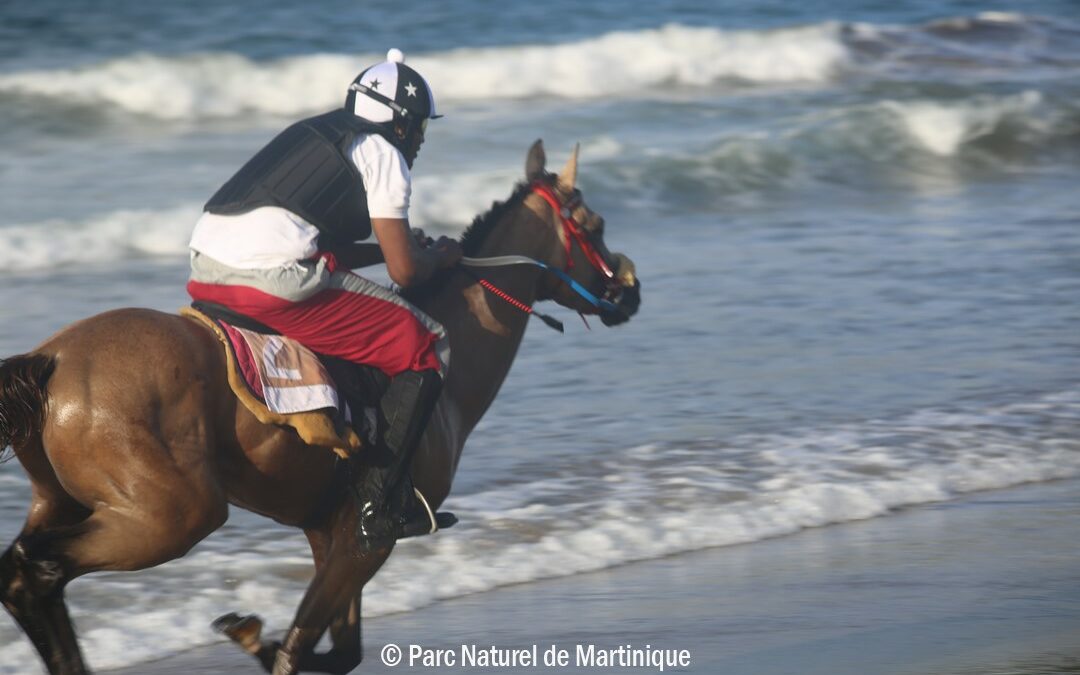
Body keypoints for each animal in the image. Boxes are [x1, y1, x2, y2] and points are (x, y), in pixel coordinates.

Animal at [0, 139, 639, 669]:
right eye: (597, 223)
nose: (628, 291)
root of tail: (51, 358)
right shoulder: (366, 537)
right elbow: (302, 647)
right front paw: (260, 640)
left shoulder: (327, 530)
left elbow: (337, 648)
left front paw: (251, 635)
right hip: (172, 515)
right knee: (36, 567)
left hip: (67, 501)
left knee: (24, 575)